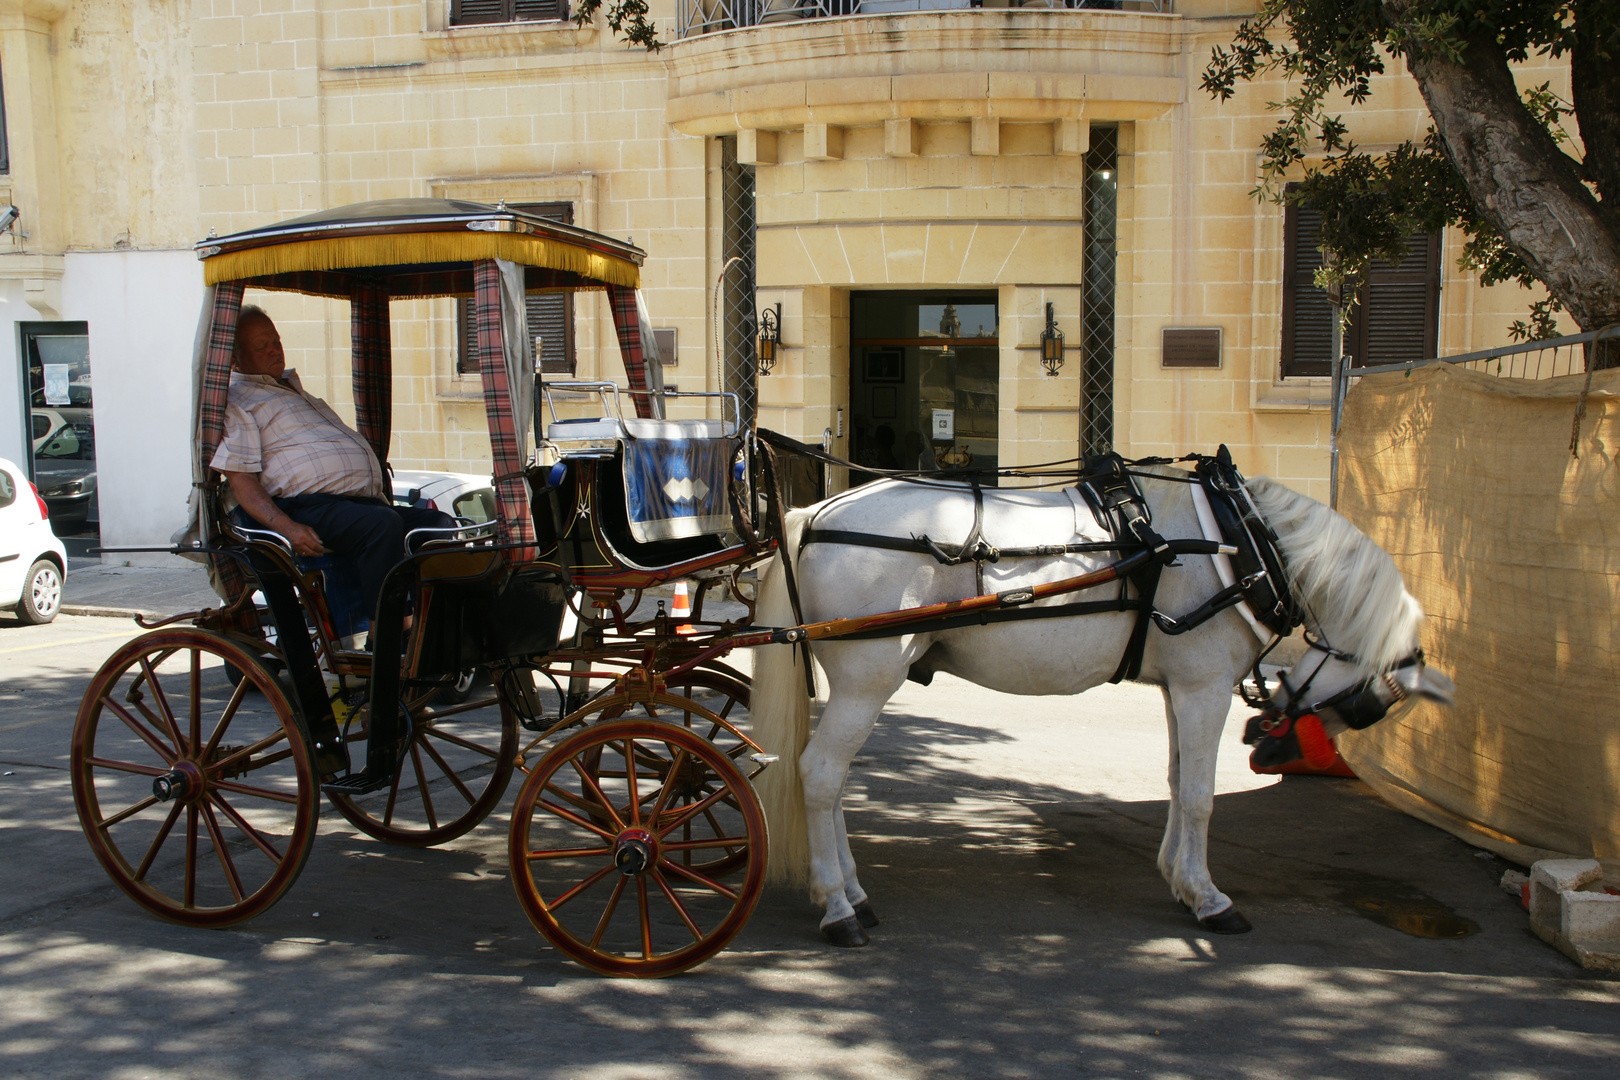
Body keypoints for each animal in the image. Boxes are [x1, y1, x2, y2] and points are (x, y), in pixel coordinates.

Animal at [748, 466, 1458, 945]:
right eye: (1384, 685)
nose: (1270, 736)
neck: (1242, 542)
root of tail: (813, 515)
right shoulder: (1205, 686)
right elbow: (1200, 794)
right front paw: (1209, 898)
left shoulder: (1181, 686)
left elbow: (1176, 780)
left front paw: (1179, 878)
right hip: (869, 679)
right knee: (819, 775)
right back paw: (838, 908)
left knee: (833, 782)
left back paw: (852, 891)